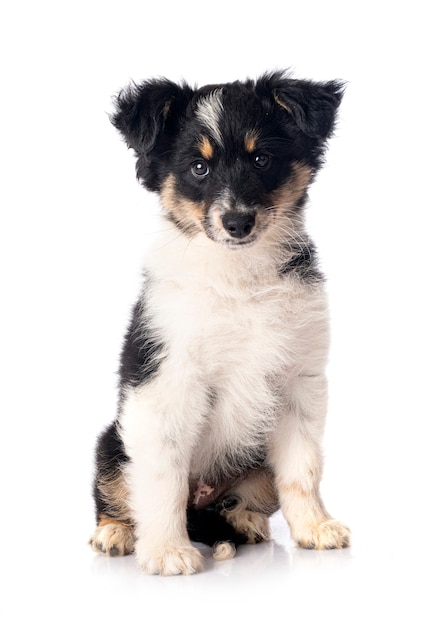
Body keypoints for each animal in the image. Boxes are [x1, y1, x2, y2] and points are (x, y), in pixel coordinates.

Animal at [90, 70, 352, 572]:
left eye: (261, 159)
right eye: (199, 168)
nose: (237, 222)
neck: (236, 275)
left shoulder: (298, 380)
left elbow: (303, 467)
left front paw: (315, 527)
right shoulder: (166, 382)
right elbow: (163, 477)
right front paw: (167, 552)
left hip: (253, 467)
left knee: (243, 499)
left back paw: (245, 522)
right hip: (113, 441)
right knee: (120, 487)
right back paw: (117, 533)